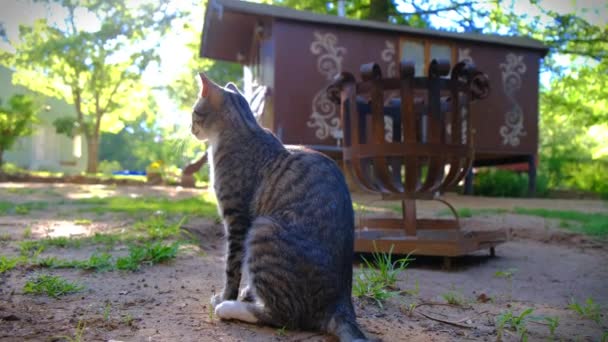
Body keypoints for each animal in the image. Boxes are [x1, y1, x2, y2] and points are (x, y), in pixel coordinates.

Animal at [190, 73, 368, 342]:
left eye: (194, 113)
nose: (190, 128)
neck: (243, 129)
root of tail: (340, 304)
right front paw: (245, 292)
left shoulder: (237, 220)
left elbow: (232, 266)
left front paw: (225, 296)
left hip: (263, 229)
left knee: (284, 317)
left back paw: (230, 308)